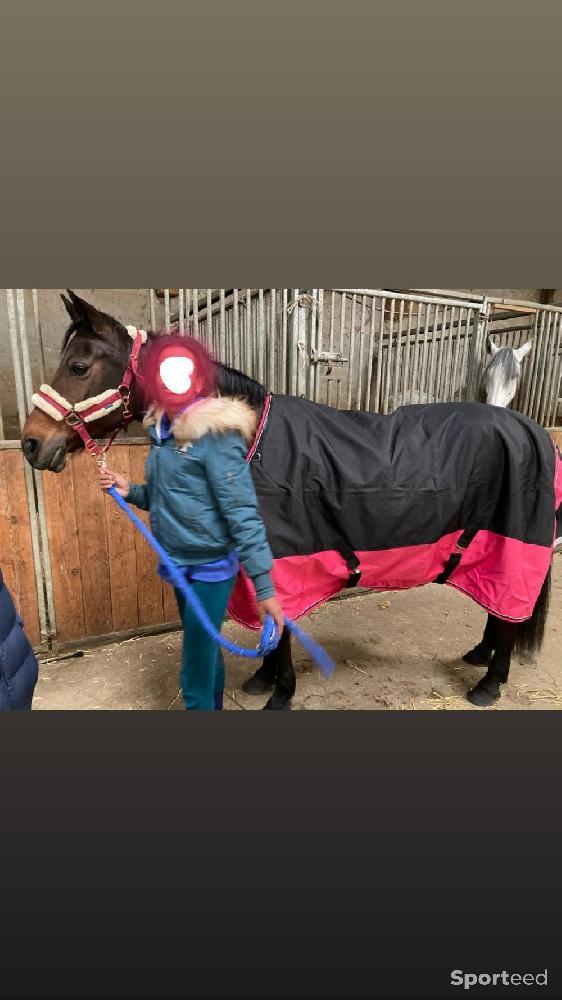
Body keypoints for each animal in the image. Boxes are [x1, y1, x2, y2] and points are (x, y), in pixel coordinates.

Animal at [19, 292, 556, 708]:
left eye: (78, 366)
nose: (30, 444)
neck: (247, 439)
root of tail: (528, 428)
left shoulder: (280, 561)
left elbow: (279, 630)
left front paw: (281, 692)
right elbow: (268, 629)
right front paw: (262, 681)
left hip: (516, 546)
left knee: (511, 612)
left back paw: (489, 684)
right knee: (501, 611)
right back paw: (480, 655)